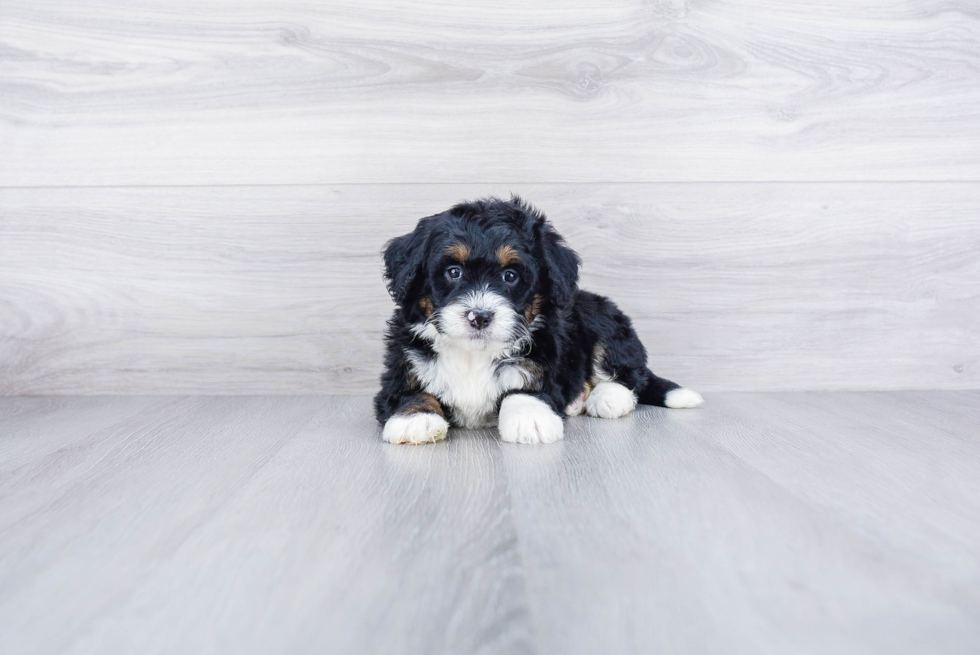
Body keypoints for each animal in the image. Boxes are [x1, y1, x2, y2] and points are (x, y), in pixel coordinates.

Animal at [376, 196, 704, 446]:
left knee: (630, 376)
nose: (479, 316)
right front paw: (416, 418)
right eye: (453, 272)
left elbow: (526, 386)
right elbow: (409, 392)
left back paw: (607, 397)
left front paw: (528, 417)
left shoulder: (543, 359)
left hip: (603, 318)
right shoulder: (401, 364)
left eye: (510, 276)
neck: (474, 354)